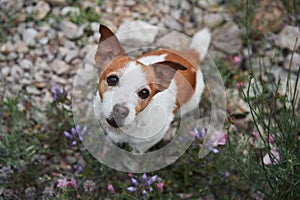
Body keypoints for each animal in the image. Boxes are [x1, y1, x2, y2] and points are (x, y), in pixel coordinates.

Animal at [94, 25, 211, 153]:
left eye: (144, 93)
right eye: (112, 79)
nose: (120, 111)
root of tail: (190, 56)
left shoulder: (148, 141)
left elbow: (138, 151)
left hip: (190, 103)